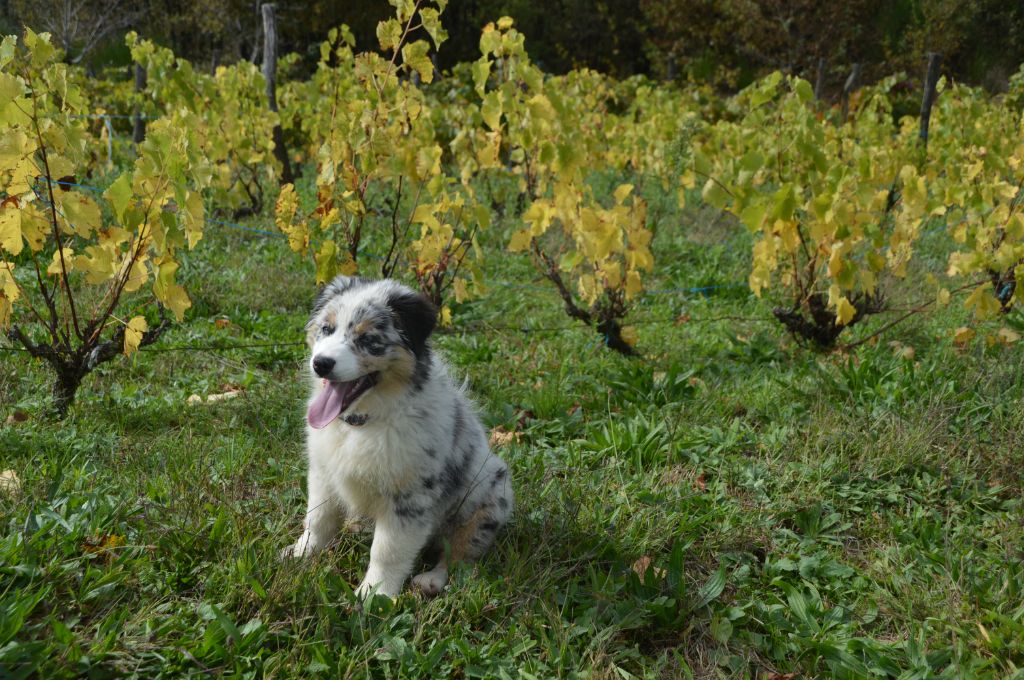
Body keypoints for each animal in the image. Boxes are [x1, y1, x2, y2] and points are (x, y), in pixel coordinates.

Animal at [284, 274, 512, 598]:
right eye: (326, 329)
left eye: (368, 340)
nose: (321, 363)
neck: (363, 422)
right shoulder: (323, 473)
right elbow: (317, 519)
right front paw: (301, 554)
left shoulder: (409, 496)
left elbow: (387, 550)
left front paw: (374, 593)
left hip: (487, 504)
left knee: (459, 556)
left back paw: (431, 581)